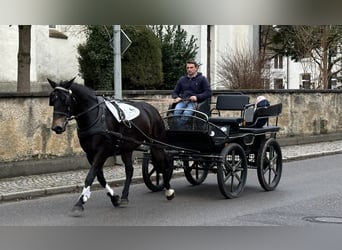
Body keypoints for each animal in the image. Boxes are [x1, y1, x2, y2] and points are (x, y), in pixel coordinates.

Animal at [47, 78, 175, 215]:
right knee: (130, 170)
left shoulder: (103, 151)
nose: (57, 127)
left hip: (156, 143)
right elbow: (99, 177)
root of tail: (152, 109)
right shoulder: (90, 153)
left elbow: (90, 176)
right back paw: (124, 197)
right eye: (52, 100)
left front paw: (80, 202)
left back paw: (169, 190)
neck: (95, 116)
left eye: (65, 100)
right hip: (127, 148)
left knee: (162, 164)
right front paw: (114, 198)